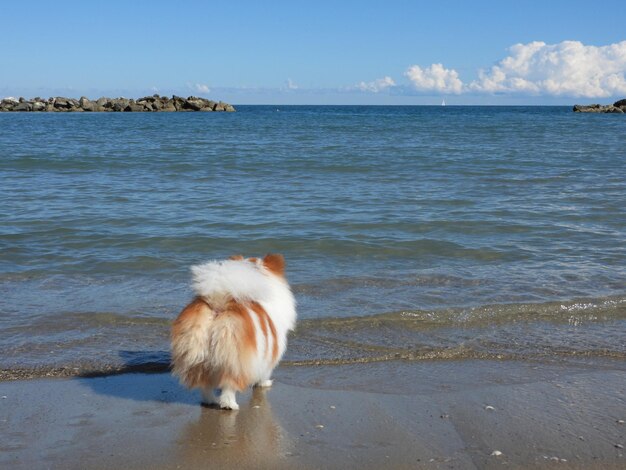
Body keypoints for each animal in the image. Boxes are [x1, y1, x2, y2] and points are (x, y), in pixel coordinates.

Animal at [171, 252, 298, 410]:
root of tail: (218, 304)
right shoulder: (269, 353)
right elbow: (265, 372)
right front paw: (264, 383)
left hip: (198, 357)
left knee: (205, 385)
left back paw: (210, 401)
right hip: (234, 360)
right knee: (229, 386)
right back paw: (229, 405)